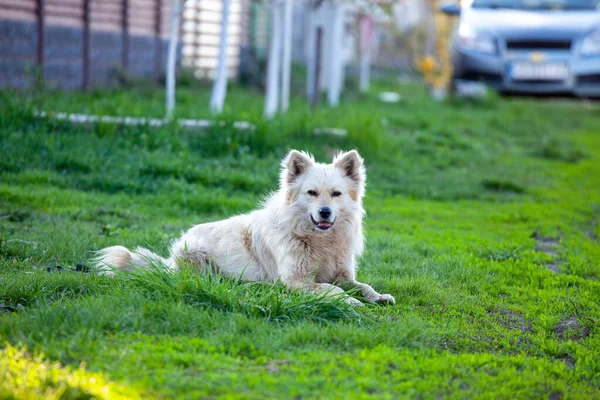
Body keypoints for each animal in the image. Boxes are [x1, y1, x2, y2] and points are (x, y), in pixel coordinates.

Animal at [95, 151, 394, 306]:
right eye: (311, 193)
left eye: (336, 194)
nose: (325, 212)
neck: (320, 241)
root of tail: (168, 262)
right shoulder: (296, 281)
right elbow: (334, 291)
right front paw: (351, 302)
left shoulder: (343, 275)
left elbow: (362, 285)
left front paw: (378, 296)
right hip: (196, 256)